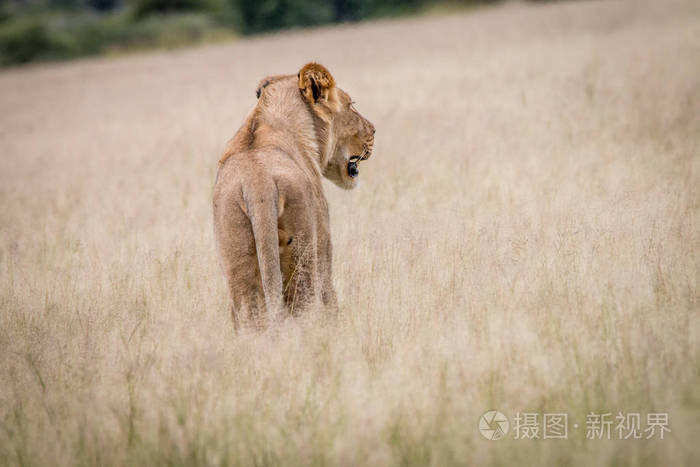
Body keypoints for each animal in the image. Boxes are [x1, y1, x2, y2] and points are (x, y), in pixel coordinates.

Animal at [213, 63, 378, 330]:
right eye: (351, 105)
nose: (374, 130)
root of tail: (257, 182)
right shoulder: (323, 239)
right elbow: (329, 296)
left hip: (237, 258)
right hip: (303, 255)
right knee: (305, 308)